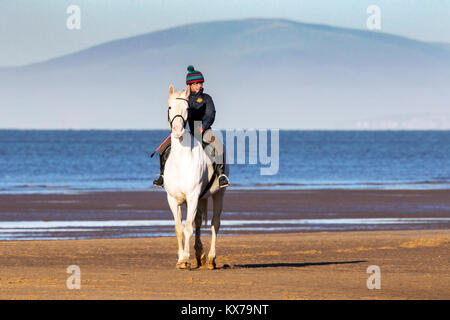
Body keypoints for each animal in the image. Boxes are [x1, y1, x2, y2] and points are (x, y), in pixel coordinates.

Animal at [164, 85, 229, 270]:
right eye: (170, 107)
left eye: (187, 109)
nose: (177, 130)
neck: (181, 160)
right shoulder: (173, 199)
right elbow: (179, 228)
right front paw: (181, 259)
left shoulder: (192, 196)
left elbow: (187, 228)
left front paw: (185, 259)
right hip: (200, 198)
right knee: (199, 221)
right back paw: (200, 255)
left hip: (218, 194)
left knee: (215, 223)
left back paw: (211, 259)